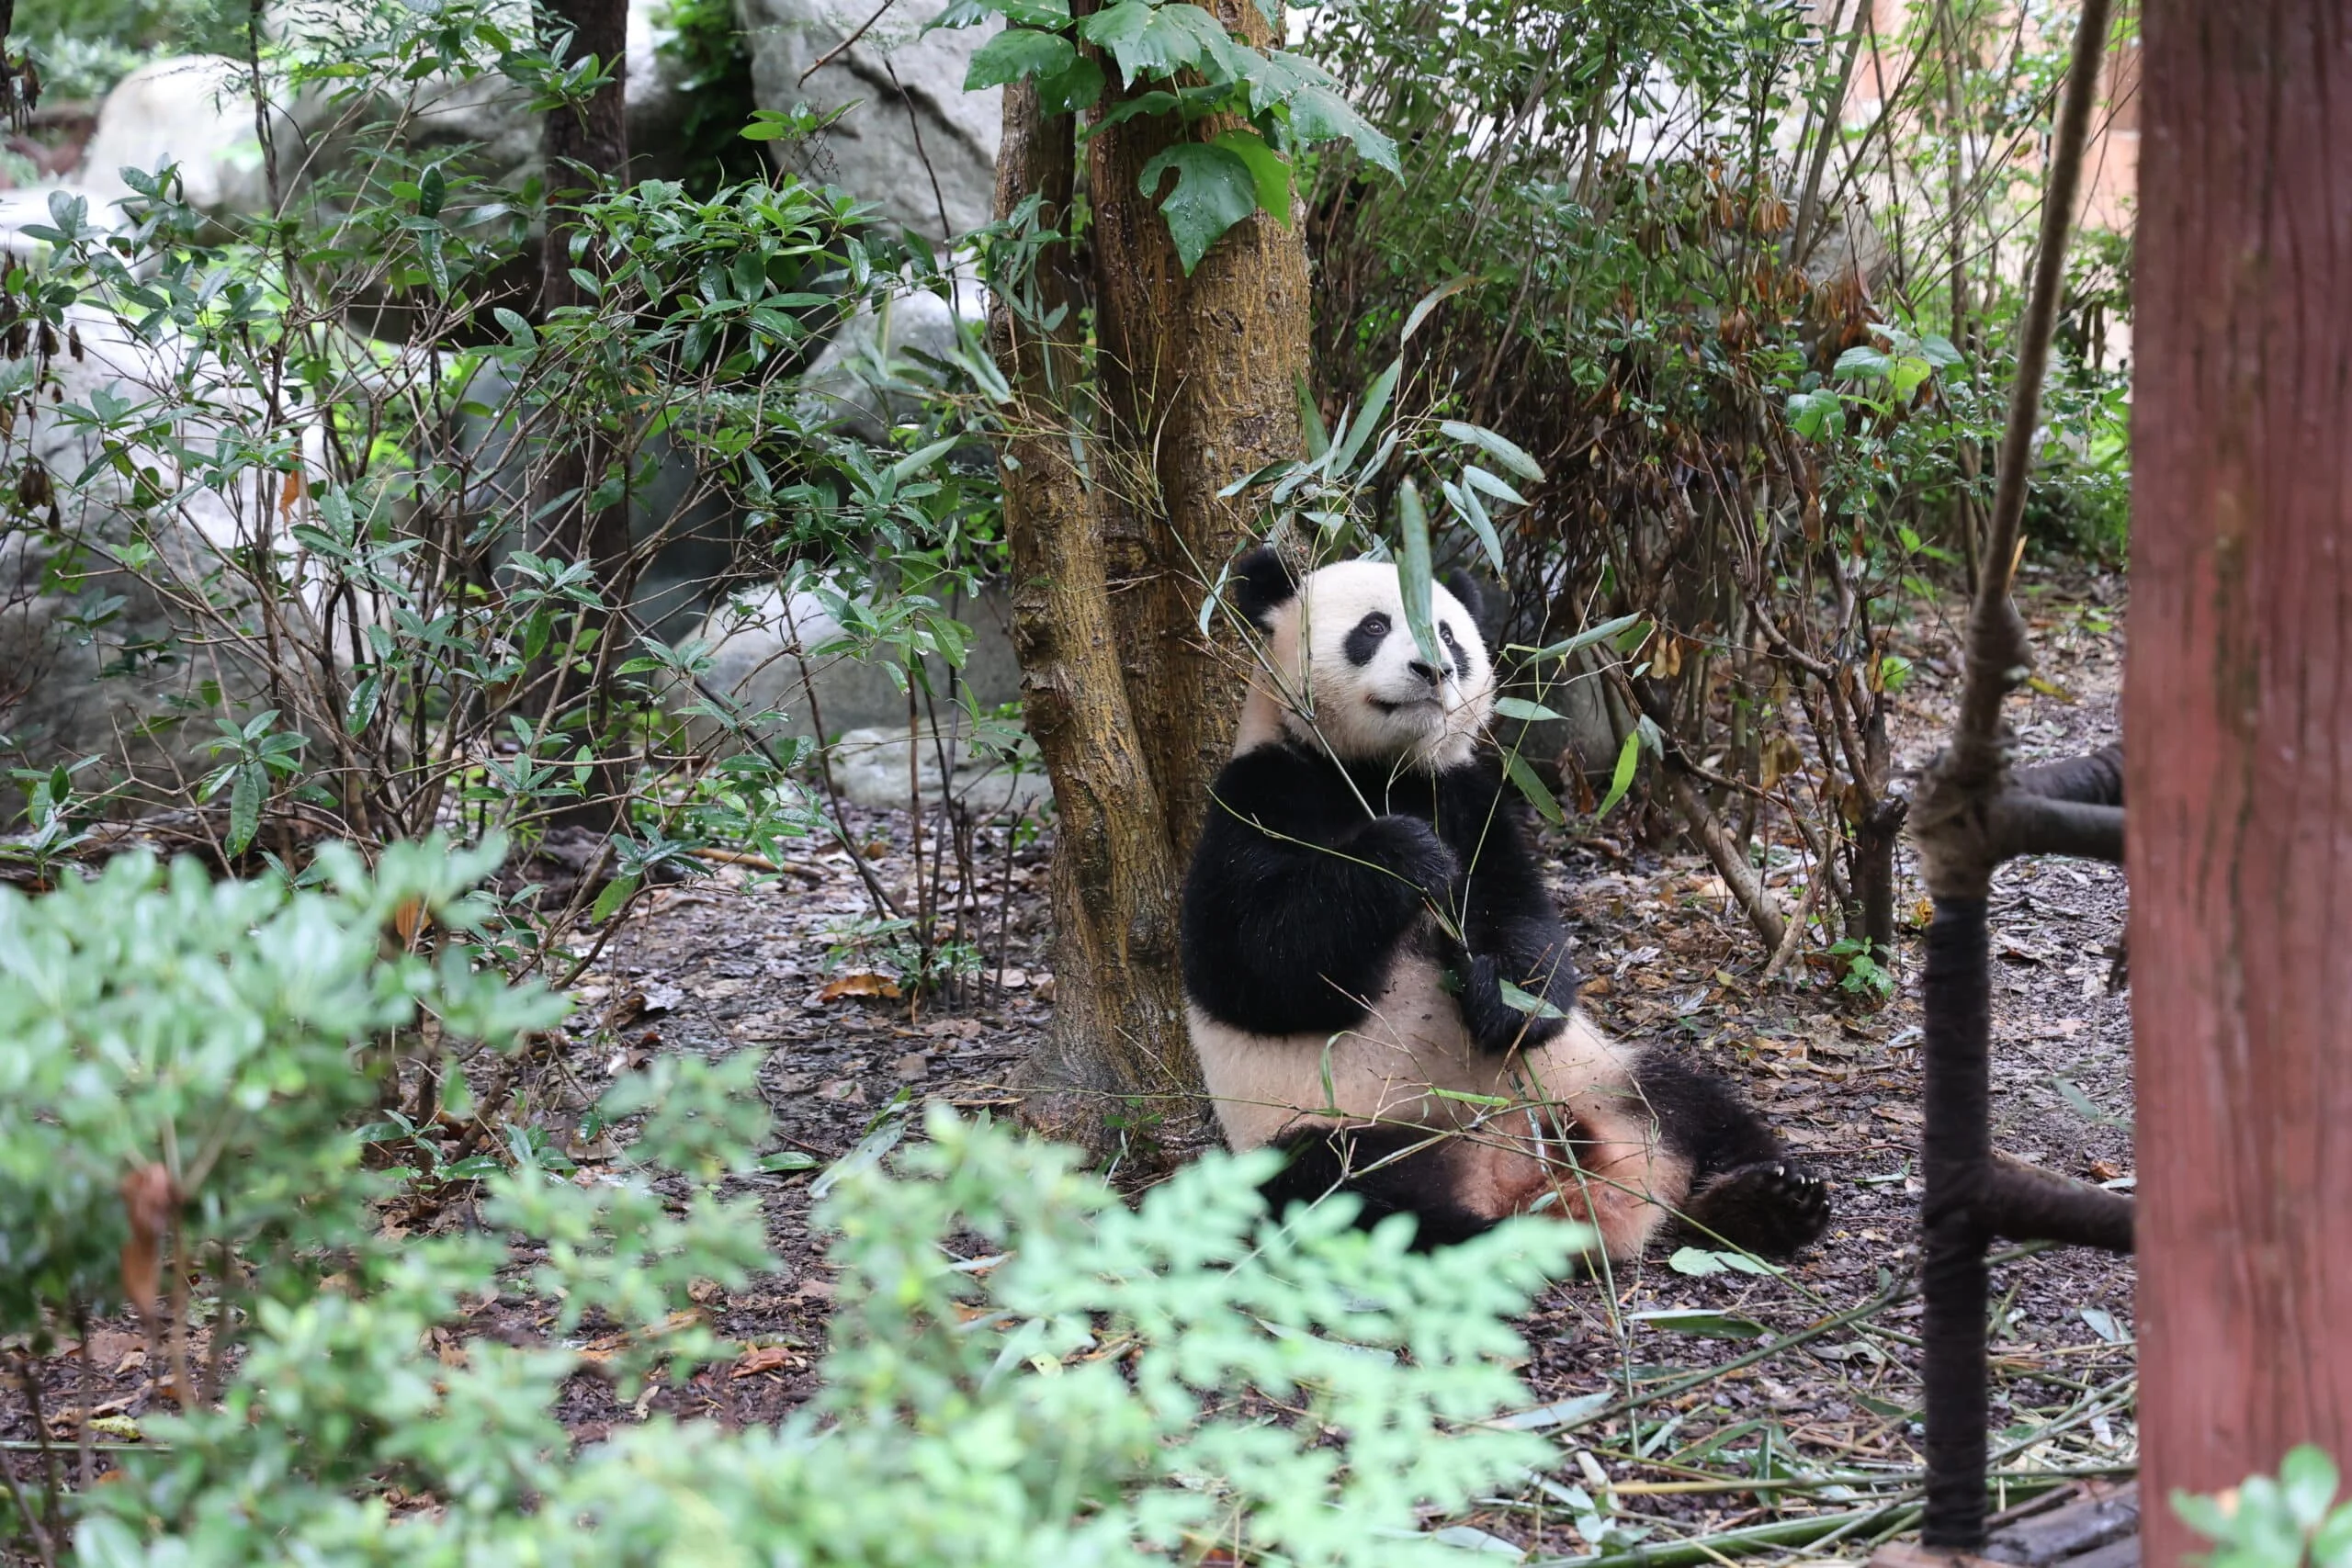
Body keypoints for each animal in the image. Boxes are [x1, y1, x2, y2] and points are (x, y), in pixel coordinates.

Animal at [1180, 547, 1831, 1259]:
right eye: (1374, 627)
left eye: (1447, 634)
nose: (1433, 669)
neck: (1379, 771)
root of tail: (1517, 1180)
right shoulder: (1259, 794)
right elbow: (1256, 964)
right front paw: (1403, 853)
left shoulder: (1472, 799)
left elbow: (1526, 922)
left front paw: (1500, 999)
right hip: (1326, 1124)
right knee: (1341, 1191)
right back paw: (1480, 1245)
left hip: (1595, 1075)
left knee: (1689, 1100)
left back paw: (1764, 1201)